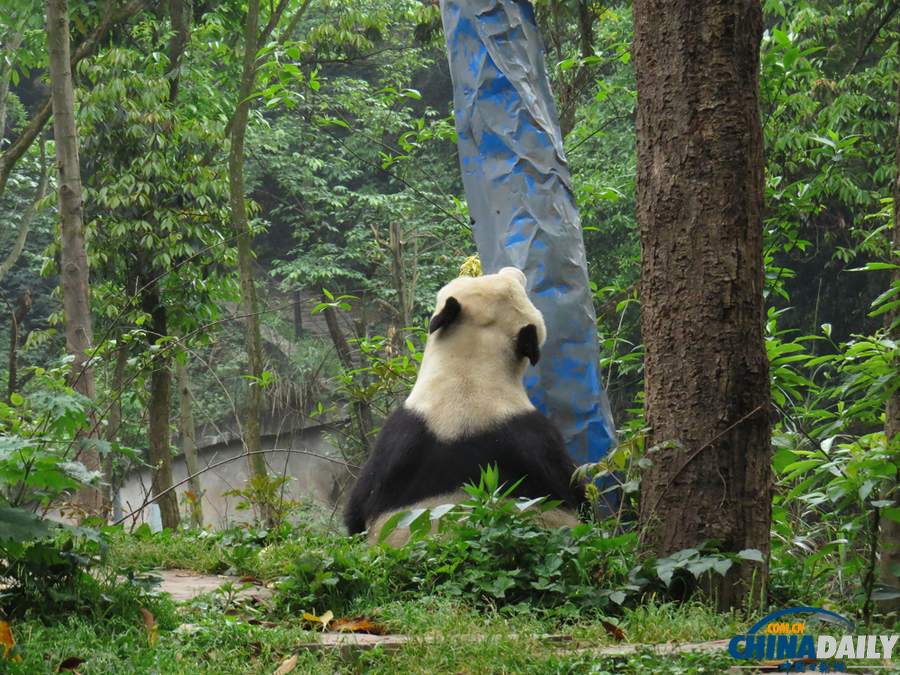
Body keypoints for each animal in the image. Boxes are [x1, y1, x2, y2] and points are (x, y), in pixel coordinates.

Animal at [342, 266, 584, 544]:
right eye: (508, 281)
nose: (514, 270)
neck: (469, 372)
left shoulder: (394, 442)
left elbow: (356, 509)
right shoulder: (540, 441)